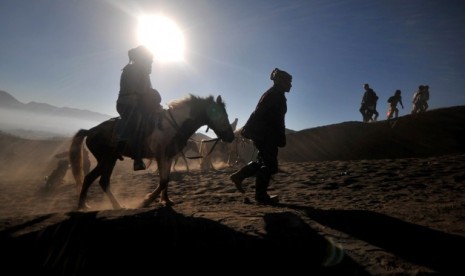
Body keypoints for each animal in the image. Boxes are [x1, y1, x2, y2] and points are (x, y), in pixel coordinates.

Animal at [68, 95, 236, 209]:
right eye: (222, 115)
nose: (231, 136)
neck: (173, 125)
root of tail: (90, 131)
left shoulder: (168, 157)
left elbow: (166, 180)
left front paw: (166, 200)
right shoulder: (161, 156)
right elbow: (163, 181)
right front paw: (146, 200)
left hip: (111, 159)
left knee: (102, 181)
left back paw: (110, 206)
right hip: (106, 159)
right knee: (90, 178)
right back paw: (85, 206)